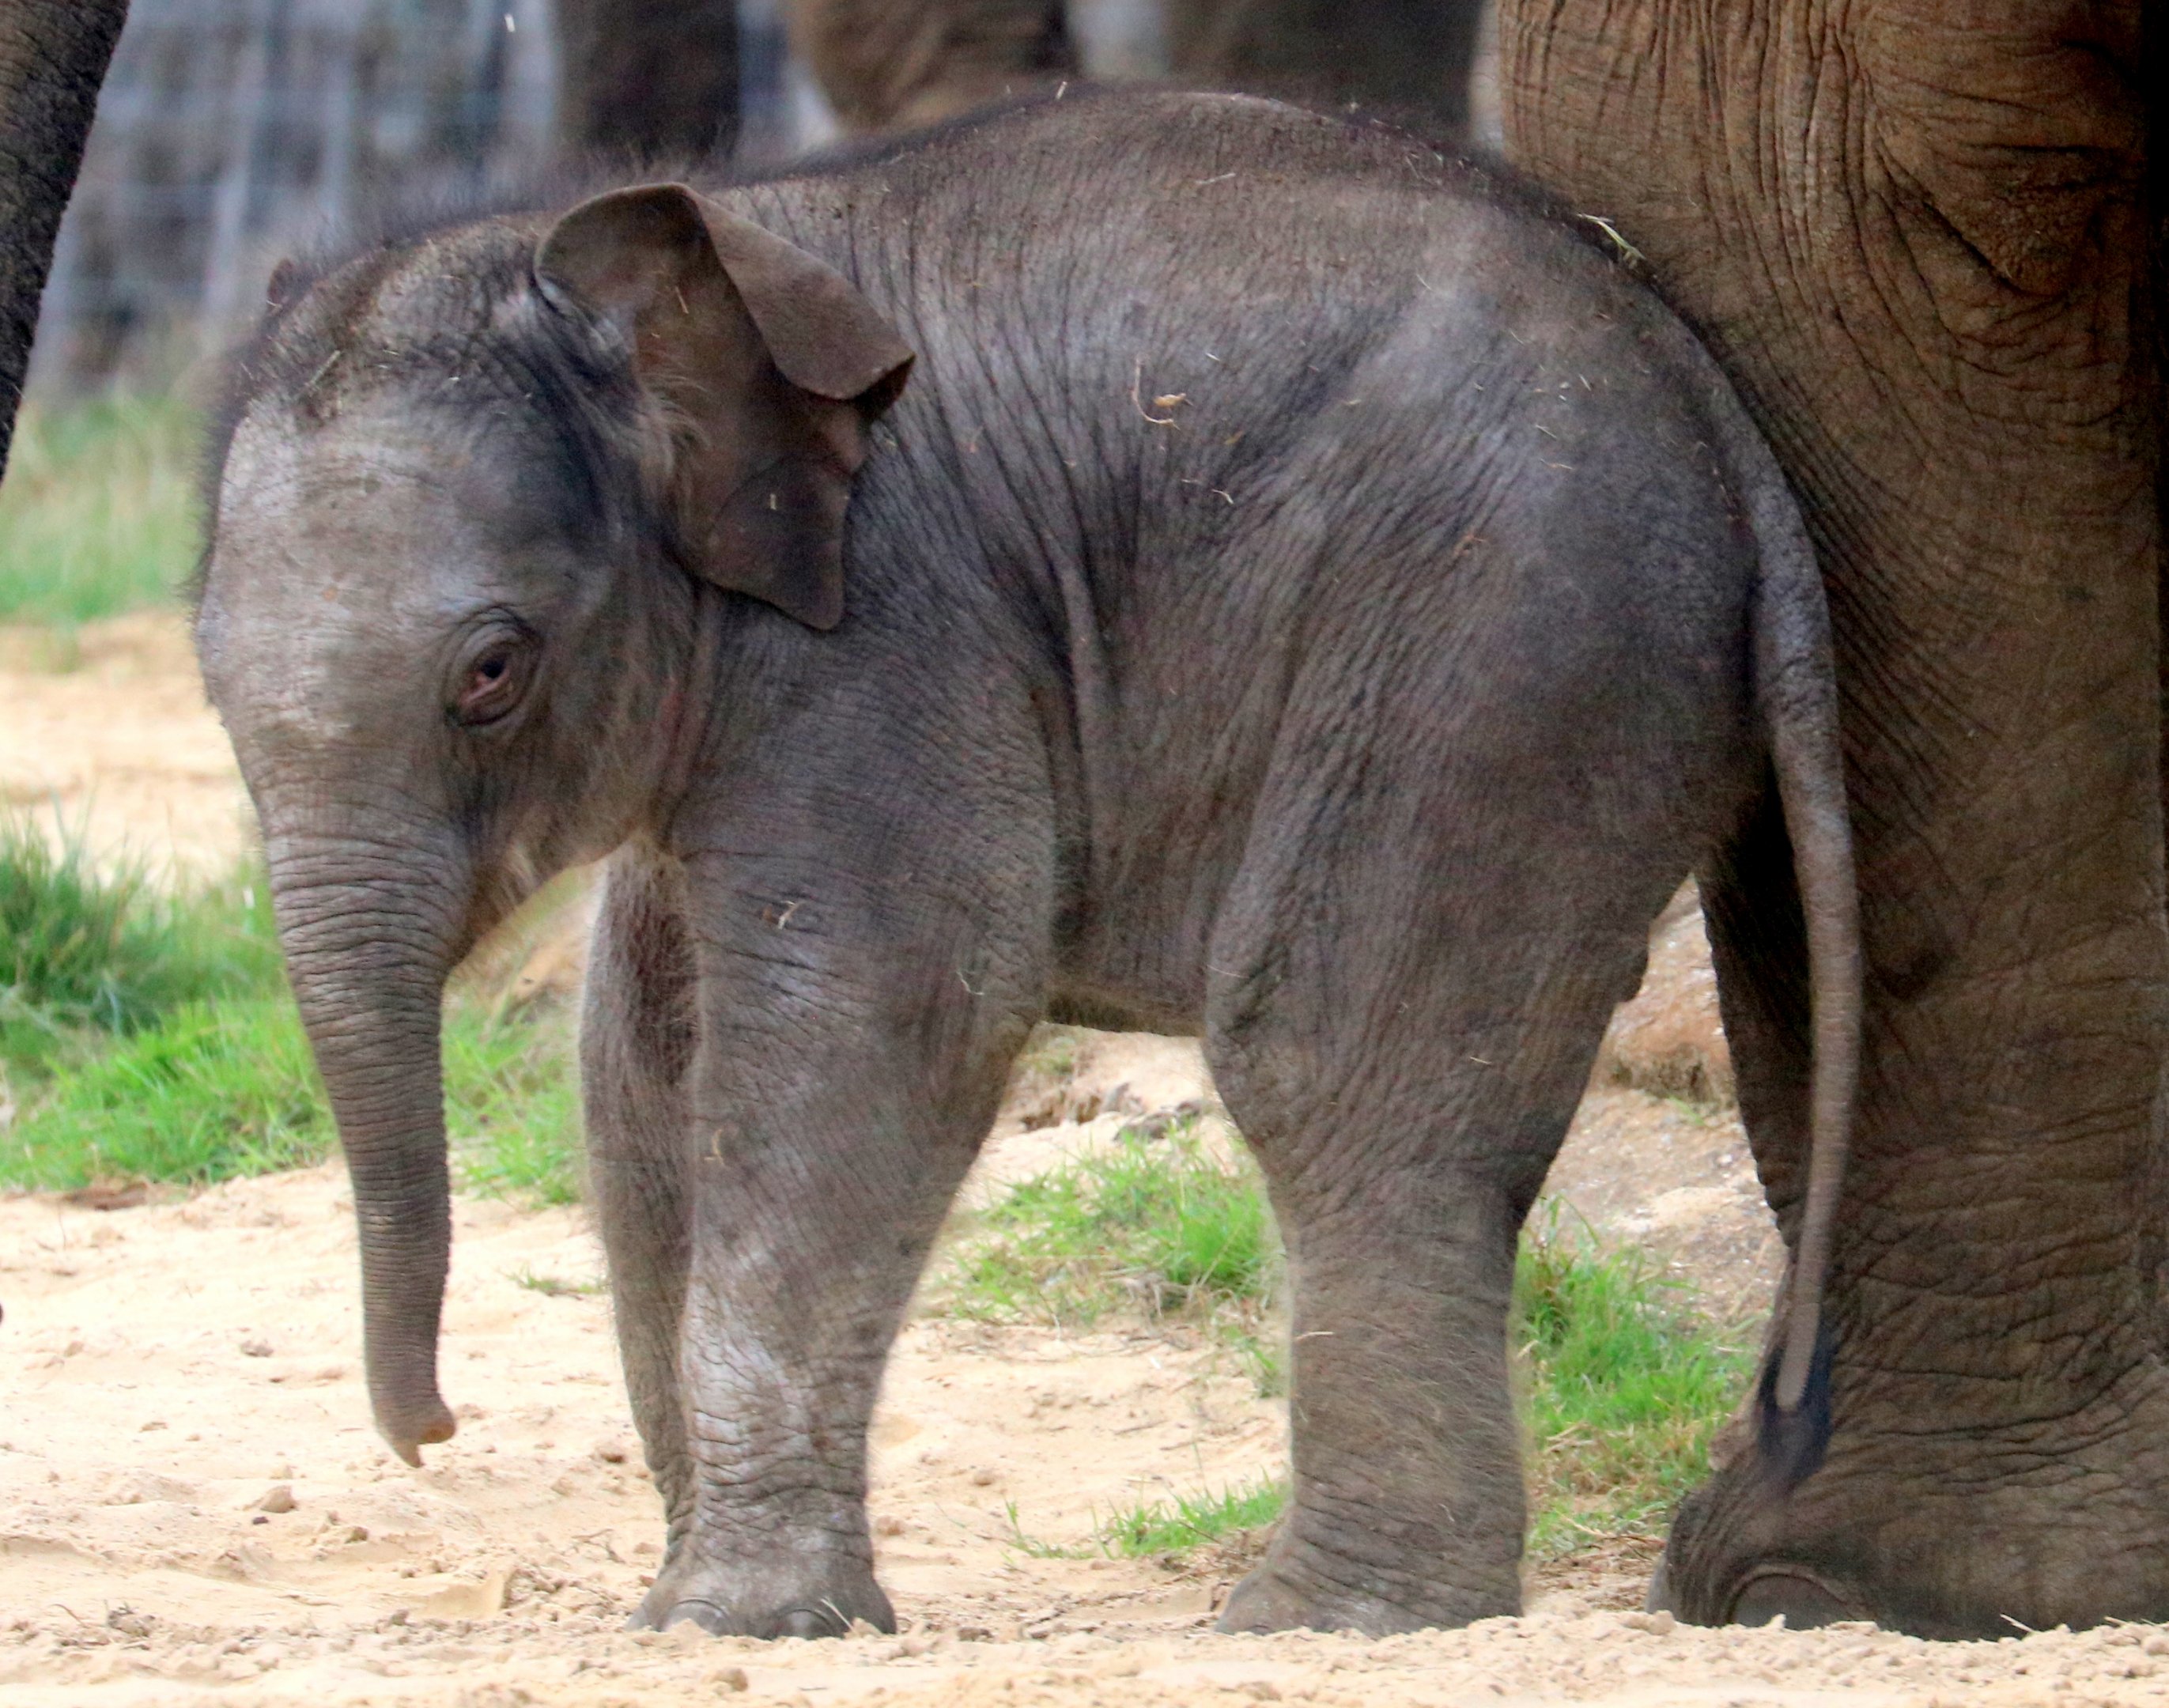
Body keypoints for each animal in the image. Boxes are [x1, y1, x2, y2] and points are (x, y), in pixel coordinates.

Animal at [194, 90, 1861, 1638]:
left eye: (491, 673)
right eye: (208, 680)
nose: (429, 1431)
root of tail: (1707, 401)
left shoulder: (894, 631)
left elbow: (875, 1020)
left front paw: (740, 1623)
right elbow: (638, 1072)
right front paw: (682, 1608)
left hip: (1499, 648)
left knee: (1330, 1065)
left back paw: (1324, 1621)